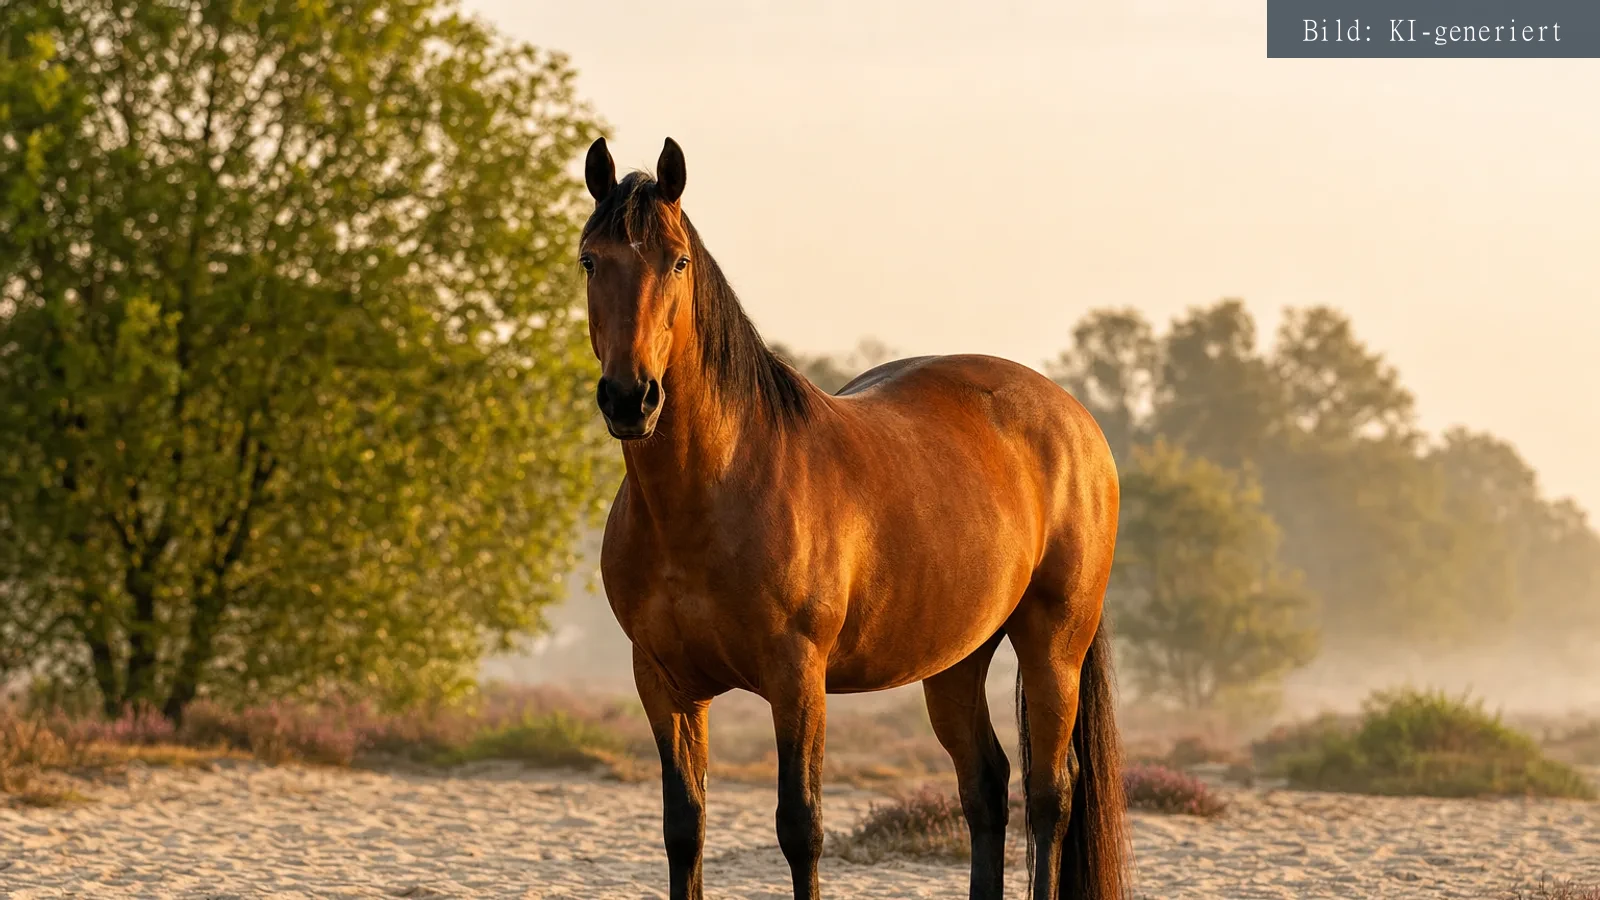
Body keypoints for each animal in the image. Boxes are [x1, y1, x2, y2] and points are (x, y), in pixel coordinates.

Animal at [580, 136, 1129, 900]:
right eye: (590, 259)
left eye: (677, 261)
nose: (632, 398)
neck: (711, 496)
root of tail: (1075, 418)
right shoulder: (664, 683)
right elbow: (683, 830)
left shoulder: (797, 679)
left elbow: (799, 827)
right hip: (956, 657)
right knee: (986, 786)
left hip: (1054, 643)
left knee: (1051, 794)